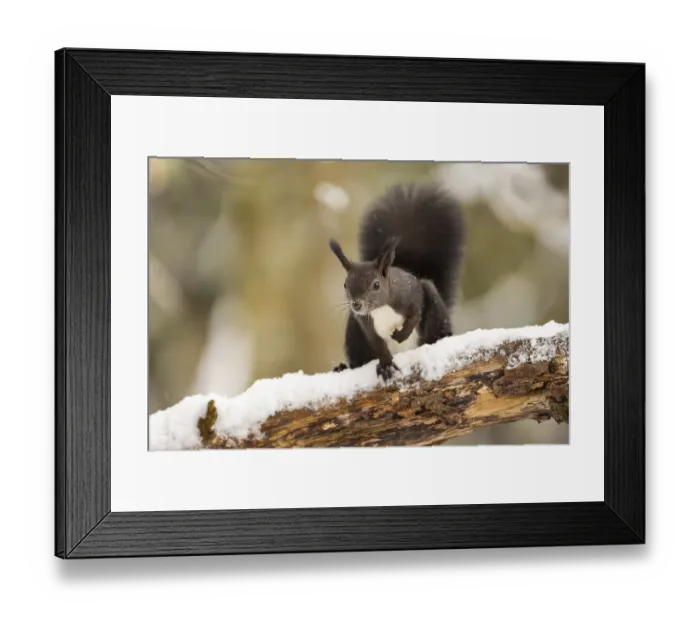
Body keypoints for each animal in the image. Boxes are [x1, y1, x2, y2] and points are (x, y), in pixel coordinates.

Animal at [329, 182, 465, 381]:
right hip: (353, 331)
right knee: (359, 358)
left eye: (376, 285)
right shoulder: (364, 321)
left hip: (433, 306)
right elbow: (377, 342)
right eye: (345, 284)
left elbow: (415, 315)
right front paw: (386, 364)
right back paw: (342, 367)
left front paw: (400, 335)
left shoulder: (411, 297)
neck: (381, 308)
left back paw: (442, 337)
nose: (356, 304)